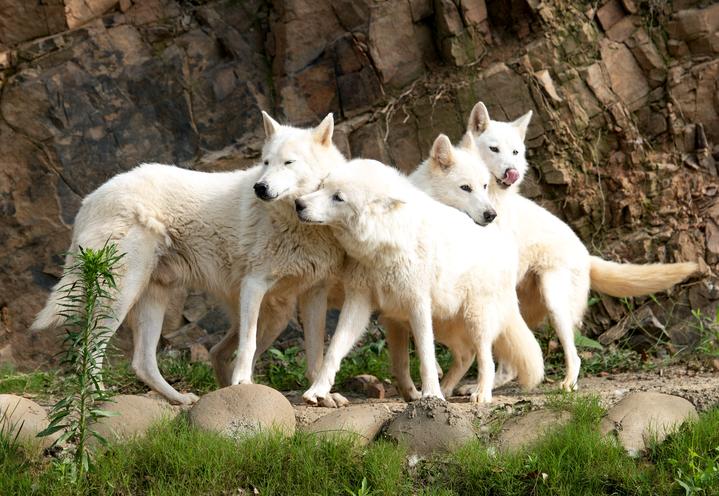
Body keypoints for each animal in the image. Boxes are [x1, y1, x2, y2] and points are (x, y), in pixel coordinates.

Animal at [32, 111, 348, 404]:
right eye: (266, 162)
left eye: (289, 163)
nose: (259, 188)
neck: (301, 224)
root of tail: (90, 199)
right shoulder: (254, 284)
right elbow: (247, 344)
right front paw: (243, 385)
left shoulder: (314, 295)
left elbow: (315, 353)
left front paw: (321, 395)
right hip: (122, 294)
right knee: (89, 347)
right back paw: (98, 397)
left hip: (222, 308)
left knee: (143, 362)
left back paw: (180, 398)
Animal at [296, 157, 544, 404]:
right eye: (321, 186)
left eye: (338, 197)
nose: (298, 204)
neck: (386, 245)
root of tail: (504, 242)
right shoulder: (359, 302)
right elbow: (335, 351)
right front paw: (317, 392)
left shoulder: (418, 305)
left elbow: (425, 356)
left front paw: (431, 394)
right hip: (443, 324)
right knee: (466, 355)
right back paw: (447, 389)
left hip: (475, 320)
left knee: (486, 359)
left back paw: (479, 394)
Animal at [464, 102, 700, 392]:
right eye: (494, 149)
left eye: (515, 152)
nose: (512, 172)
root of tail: (586, 254)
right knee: (514, 360)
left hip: (555, 304)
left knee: (572, 355)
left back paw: (566, 383)